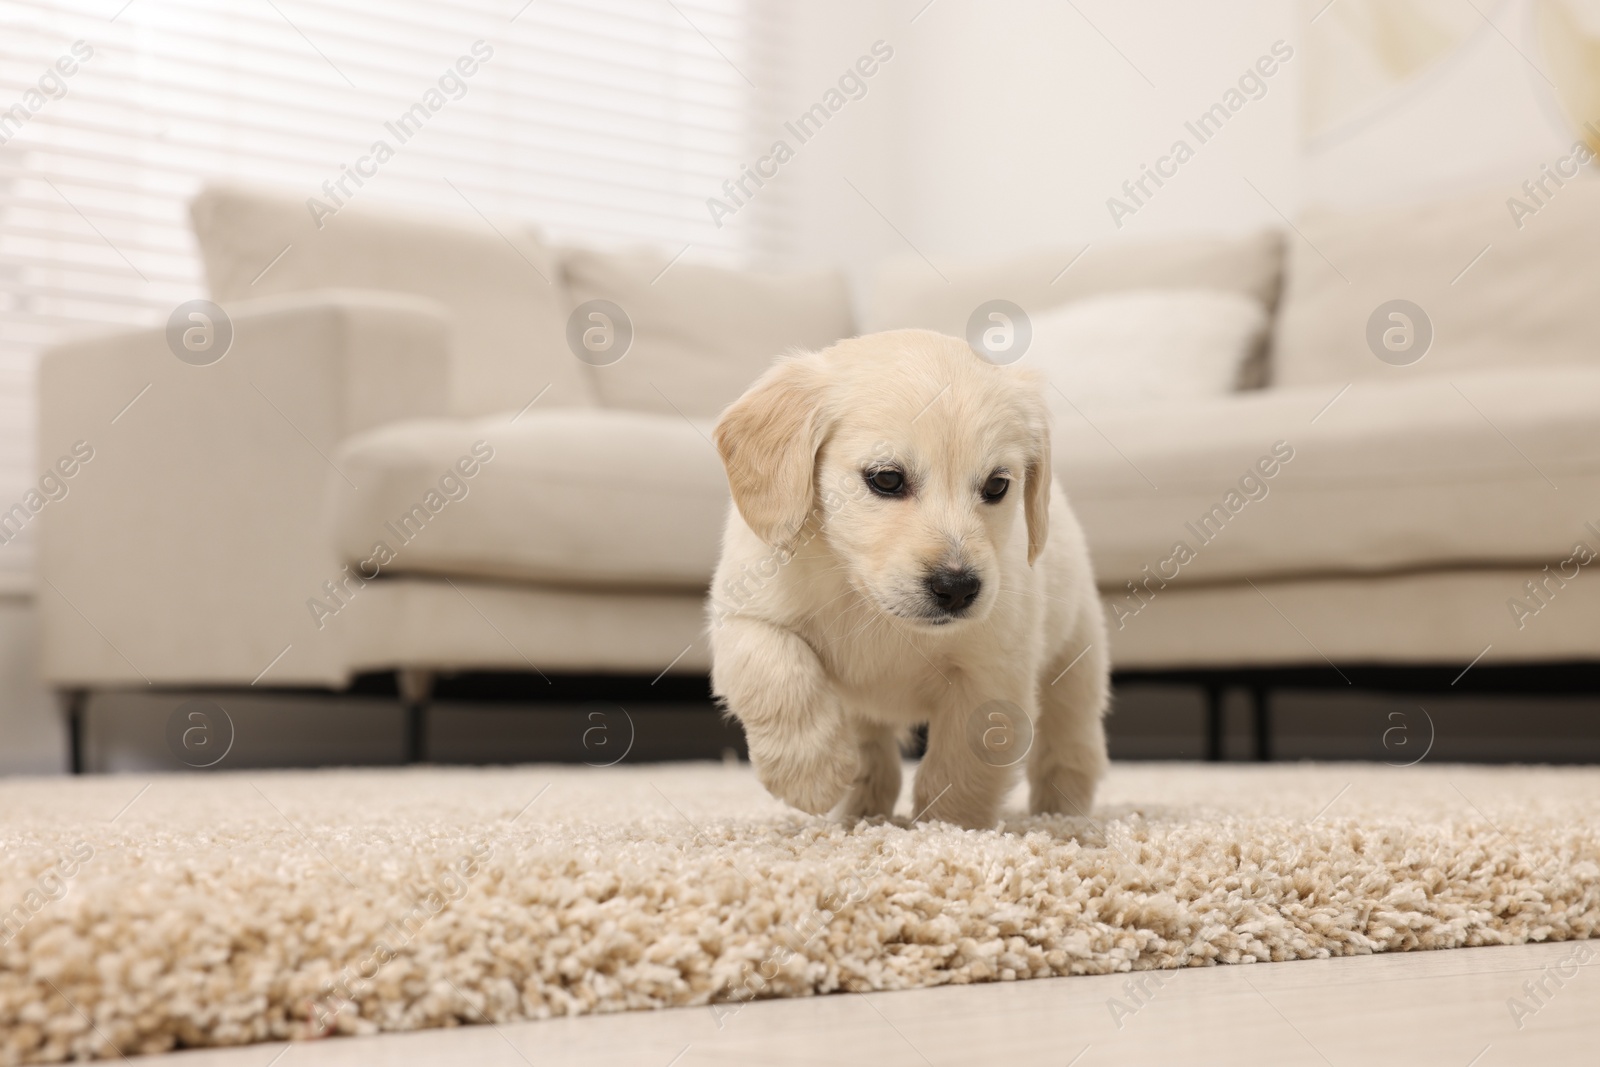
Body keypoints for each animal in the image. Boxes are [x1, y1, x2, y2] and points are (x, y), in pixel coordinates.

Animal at [707, 329, 1107, 831]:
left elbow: (958, 767)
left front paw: (948, 829)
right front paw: (810, 776)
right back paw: (858, 811)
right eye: (887, 479)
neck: (862, 594)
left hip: (1076, 664)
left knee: (1069, 748)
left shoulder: (991, 674)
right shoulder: (743, 617)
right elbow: (776, 672)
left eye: (997, 486)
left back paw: (1062, 816)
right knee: (872, 753)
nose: (957, 588)